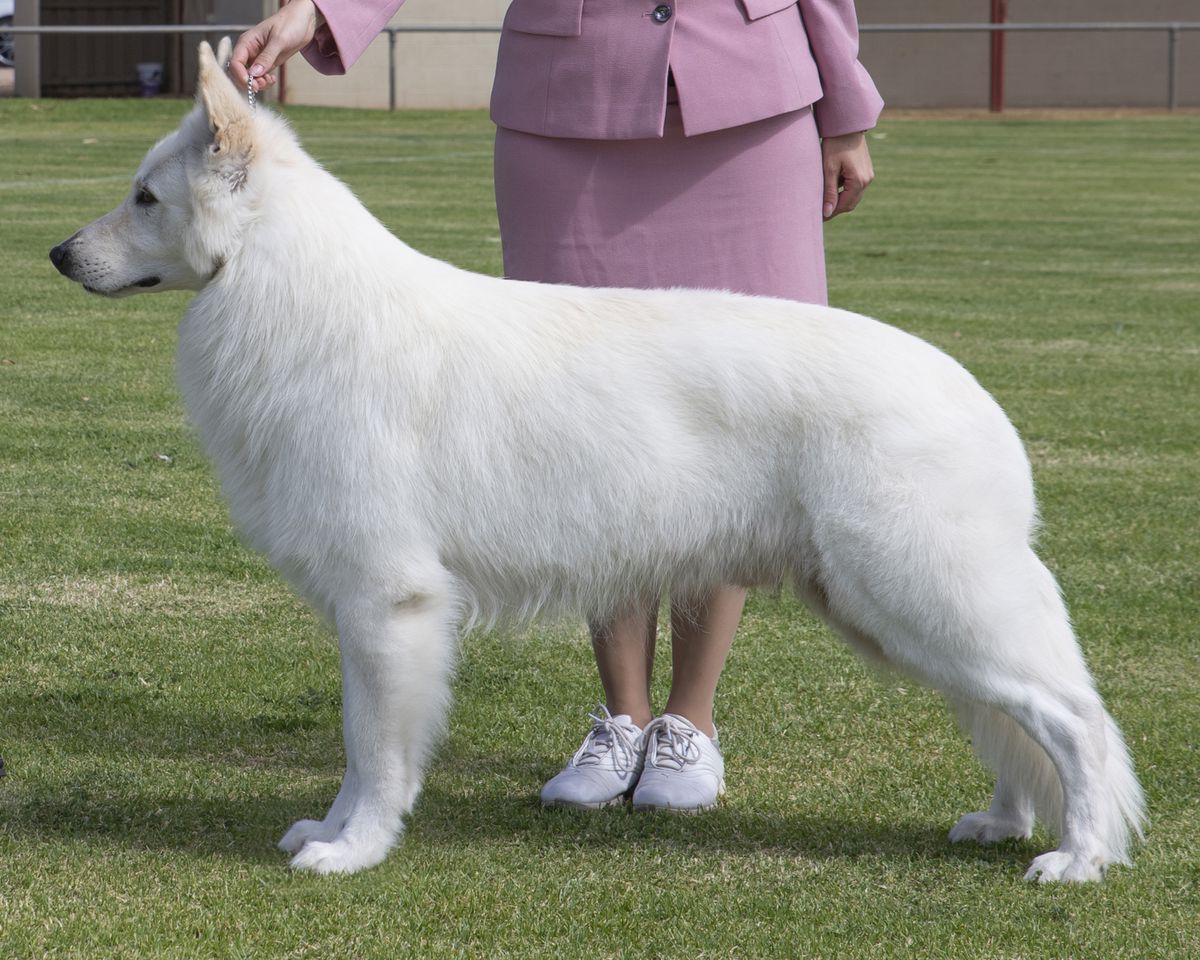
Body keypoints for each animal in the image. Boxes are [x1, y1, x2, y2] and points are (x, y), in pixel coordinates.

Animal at [51, 41, 1147, 883]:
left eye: (144, 198)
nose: (59, 257)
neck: (295, 295)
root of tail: (973, 395)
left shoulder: (387, 604)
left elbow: (375, 749)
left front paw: (353, 850)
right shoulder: (370, 613)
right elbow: (361, 750)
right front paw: (332, 829)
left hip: (922, 594)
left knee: (1074, 719)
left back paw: (1078, 857)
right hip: (892, 611)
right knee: (1008, 718)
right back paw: (1004, 823)